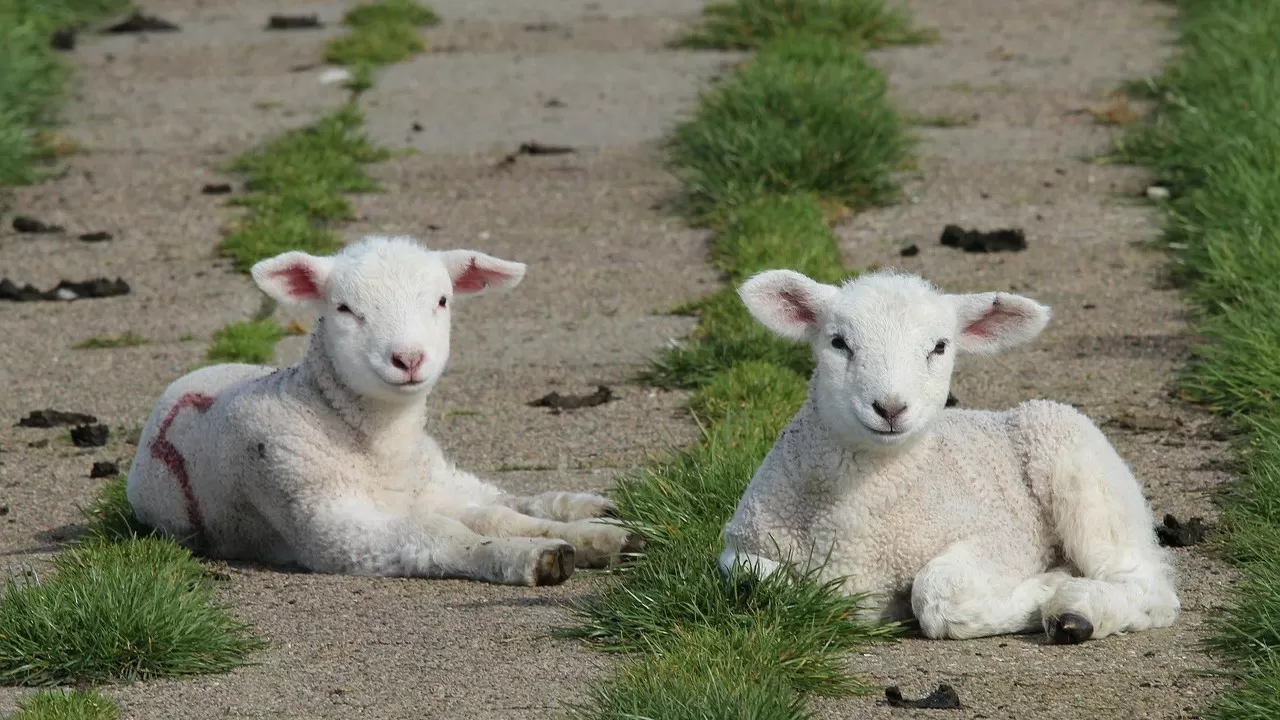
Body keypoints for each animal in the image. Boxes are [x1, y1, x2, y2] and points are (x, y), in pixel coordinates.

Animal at [127, 234, 640, 584]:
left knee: (502, 500)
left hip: (435, 470)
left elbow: (493, 517)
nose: (408, 359)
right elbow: (438, 533)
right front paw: (531, 556)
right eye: (344, 309)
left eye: (442, 300)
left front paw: (584, 538)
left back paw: (597, 515)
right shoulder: (327, 524)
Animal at [716, 266, 1172, 640]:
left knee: (1148, 587)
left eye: (939, 347)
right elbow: (754, 580)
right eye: (838, 342)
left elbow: (937, 595)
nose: (890, 408)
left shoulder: (1005, 539)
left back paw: (1077, 612)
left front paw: (1050, 585)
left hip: (1077, 466)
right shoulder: (743, 545)